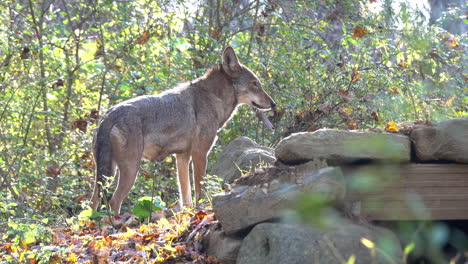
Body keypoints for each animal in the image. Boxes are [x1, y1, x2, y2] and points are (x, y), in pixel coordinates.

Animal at [89, 46, 276, 214]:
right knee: (113, 202)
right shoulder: (200, 153)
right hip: (129, 171)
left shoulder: (182, 157)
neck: (211, 98)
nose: (273, 104)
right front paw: (200, 211)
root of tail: (108, 115)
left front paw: (189, 214)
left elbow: (186, 197)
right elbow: (199, 190)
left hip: (107, 174)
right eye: (255, 84)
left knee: (93, 203)